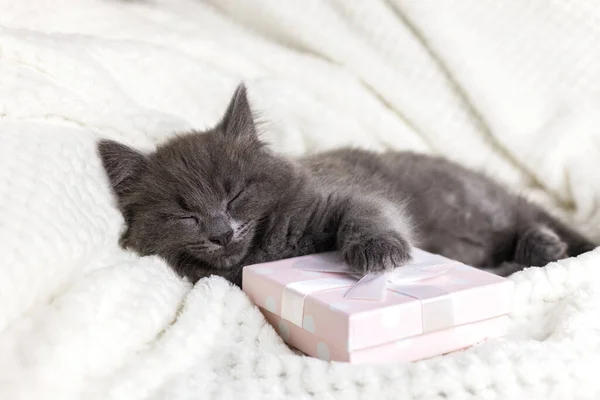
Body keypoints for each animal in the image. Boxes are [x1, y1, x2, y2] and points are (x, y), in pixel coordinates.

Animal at [98, 83, 596, 286]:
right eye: (185, 215)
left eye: (235, 194)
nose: (221, 233)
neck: (267, 246)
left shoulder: (342, 192)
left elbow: (367, 210)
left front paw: (378, 252)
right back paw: (534, 252)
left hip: (479, 206)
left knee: (526, 220)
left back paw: (542, 242)